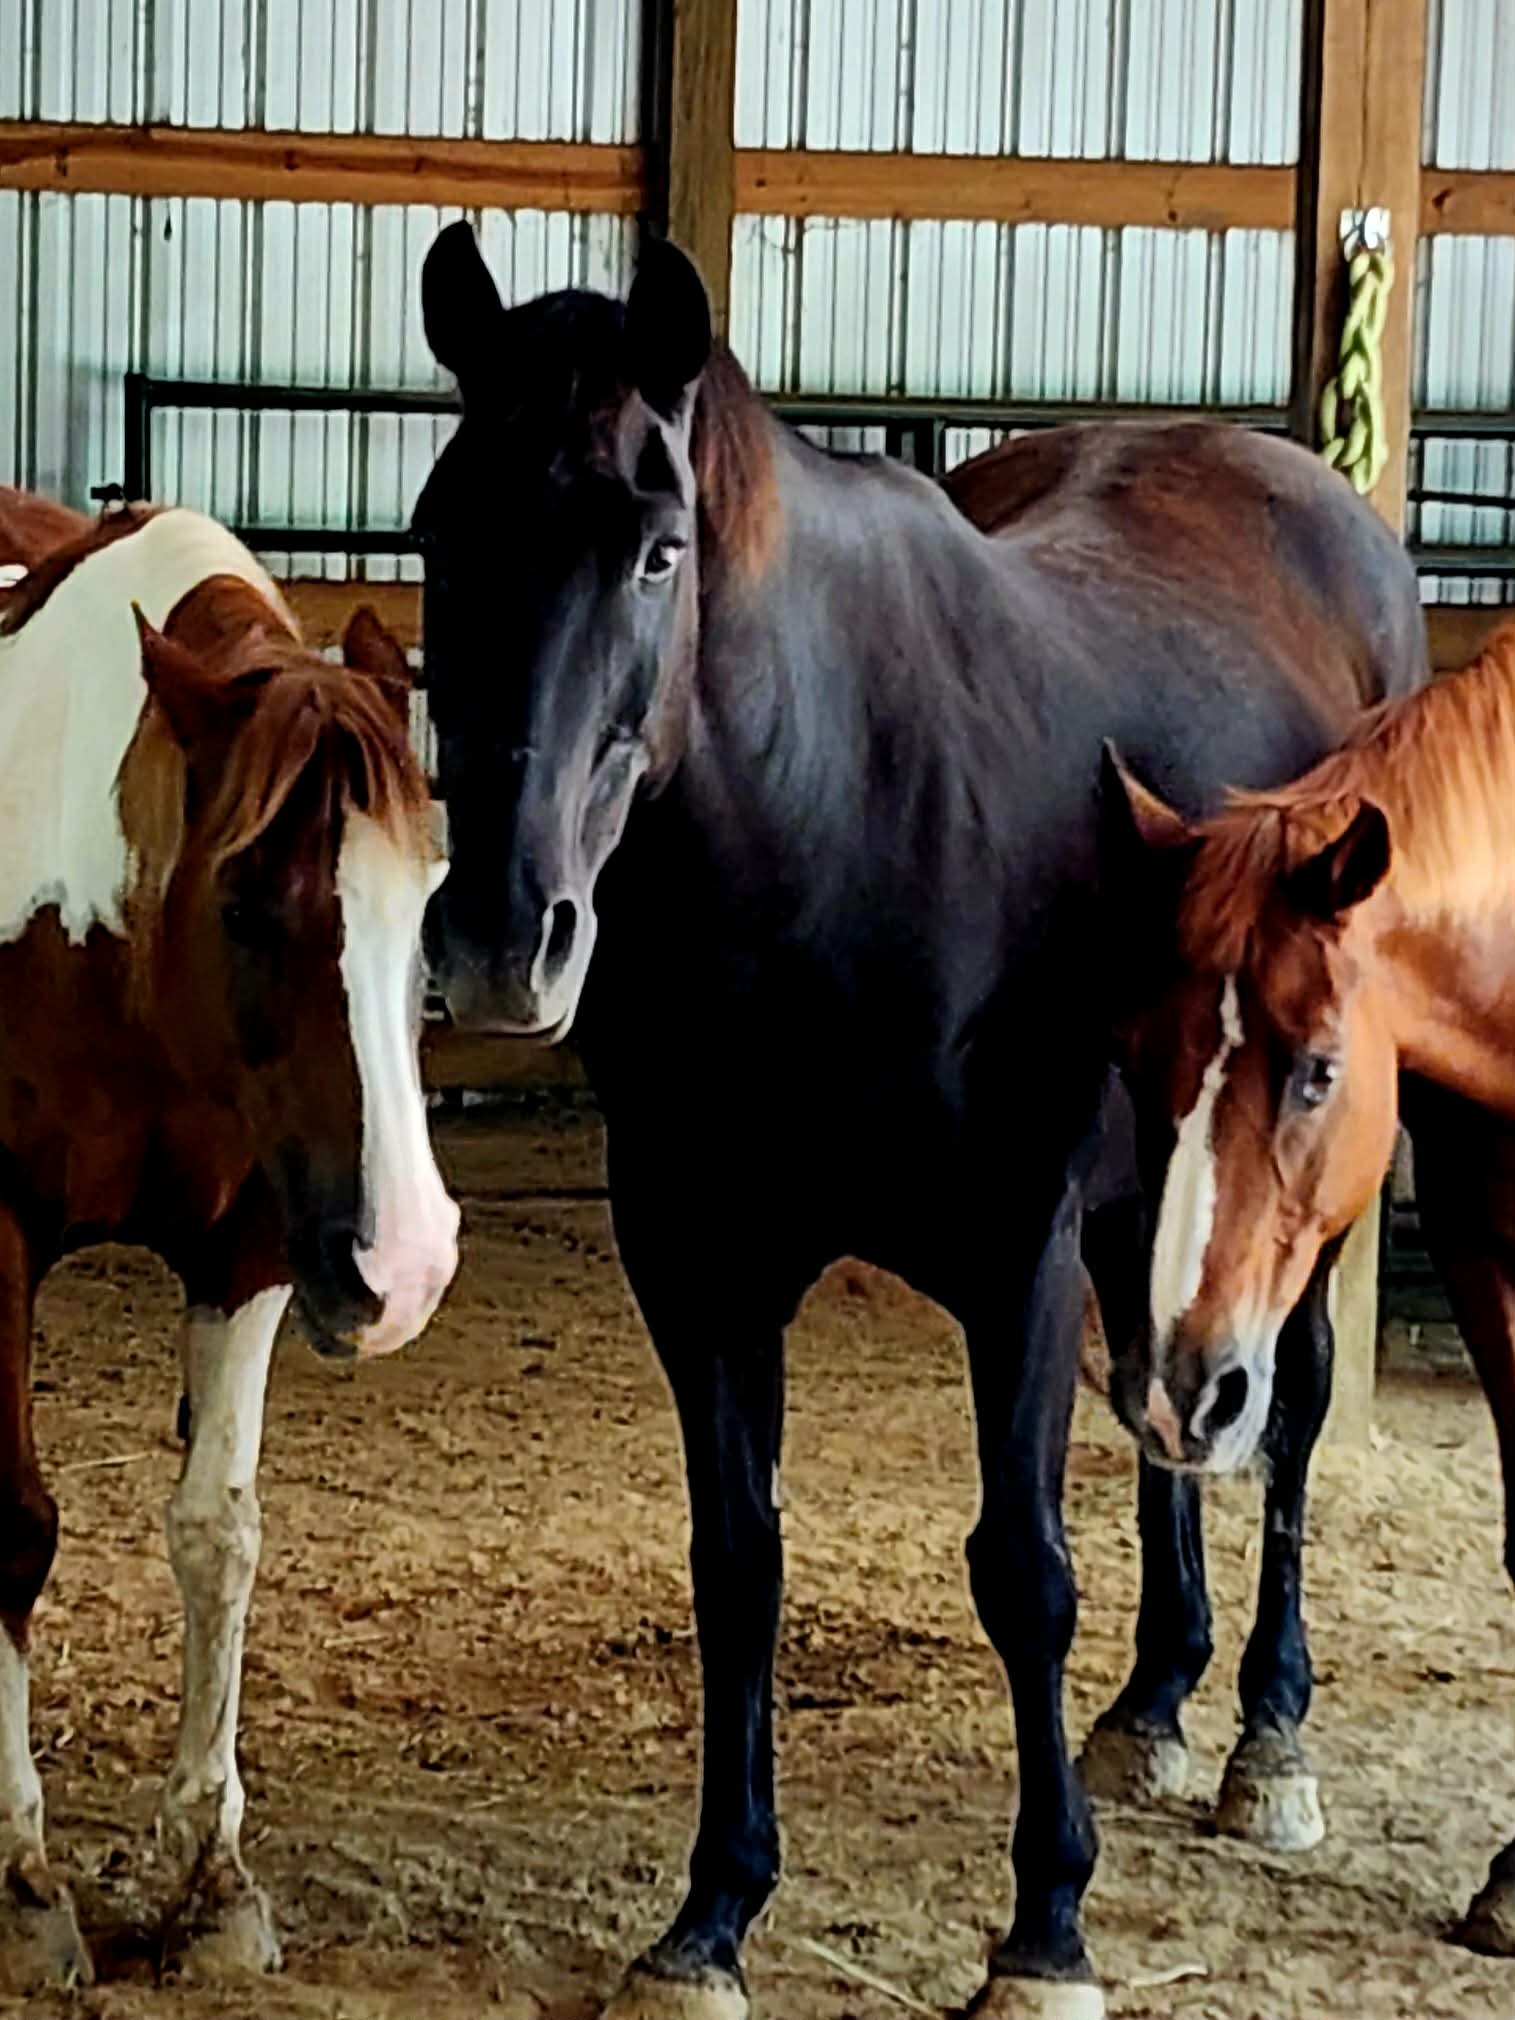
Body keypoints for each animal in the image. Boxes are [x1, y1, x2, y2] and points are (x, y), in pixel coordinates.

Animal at [0, 490, 459, 1991]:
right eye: (253, 901)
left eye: (427, 898)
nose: (411, 1265)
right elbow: (13, 1528)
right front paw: (21, 1884)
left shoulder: (259, 1248)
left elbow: (220, 1531)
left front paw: (210, 1874)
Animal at [411, 223, 1425, 2020]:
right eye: (438, 536)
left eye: (658, 550)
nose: (499, 937)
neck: (827, 828)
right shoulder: (698, 1264)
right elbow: (736, 1565)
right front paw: (711, 1914)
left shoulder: (1011, 1254)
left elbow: (1021, 1571)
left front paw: (1046, 1929)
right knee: (1164, 1417)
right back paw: (1155, 1703)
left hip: (1296, 1202)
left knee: (1286, 1414)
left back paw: (1265, 1735)